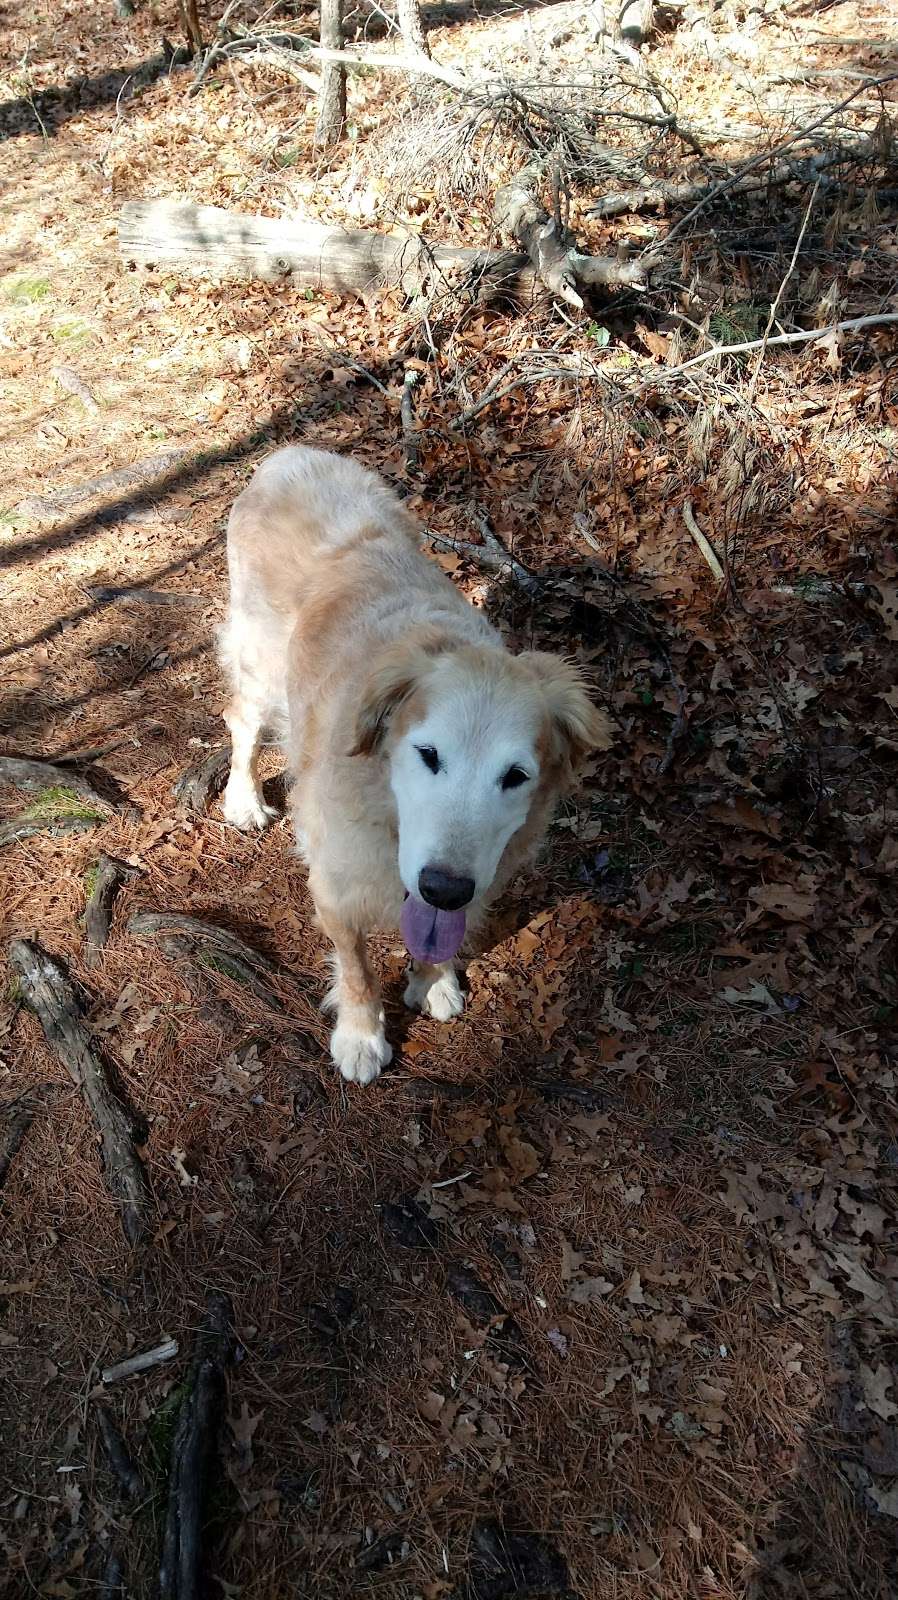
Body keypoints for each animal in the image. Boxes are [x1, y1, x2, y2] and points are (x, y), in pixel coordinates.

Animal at [219, 444, 608, 1081]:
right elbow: (355, 966)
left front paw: (433, 980)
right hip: (261, 665)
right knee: (242, 722)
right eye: (428, 754)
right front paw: (360, 1034)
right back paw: (243, 799)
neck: (385, 808)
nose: (444, 887)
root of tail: (291, 453)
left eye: (516, 777)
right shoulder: (336, 880)